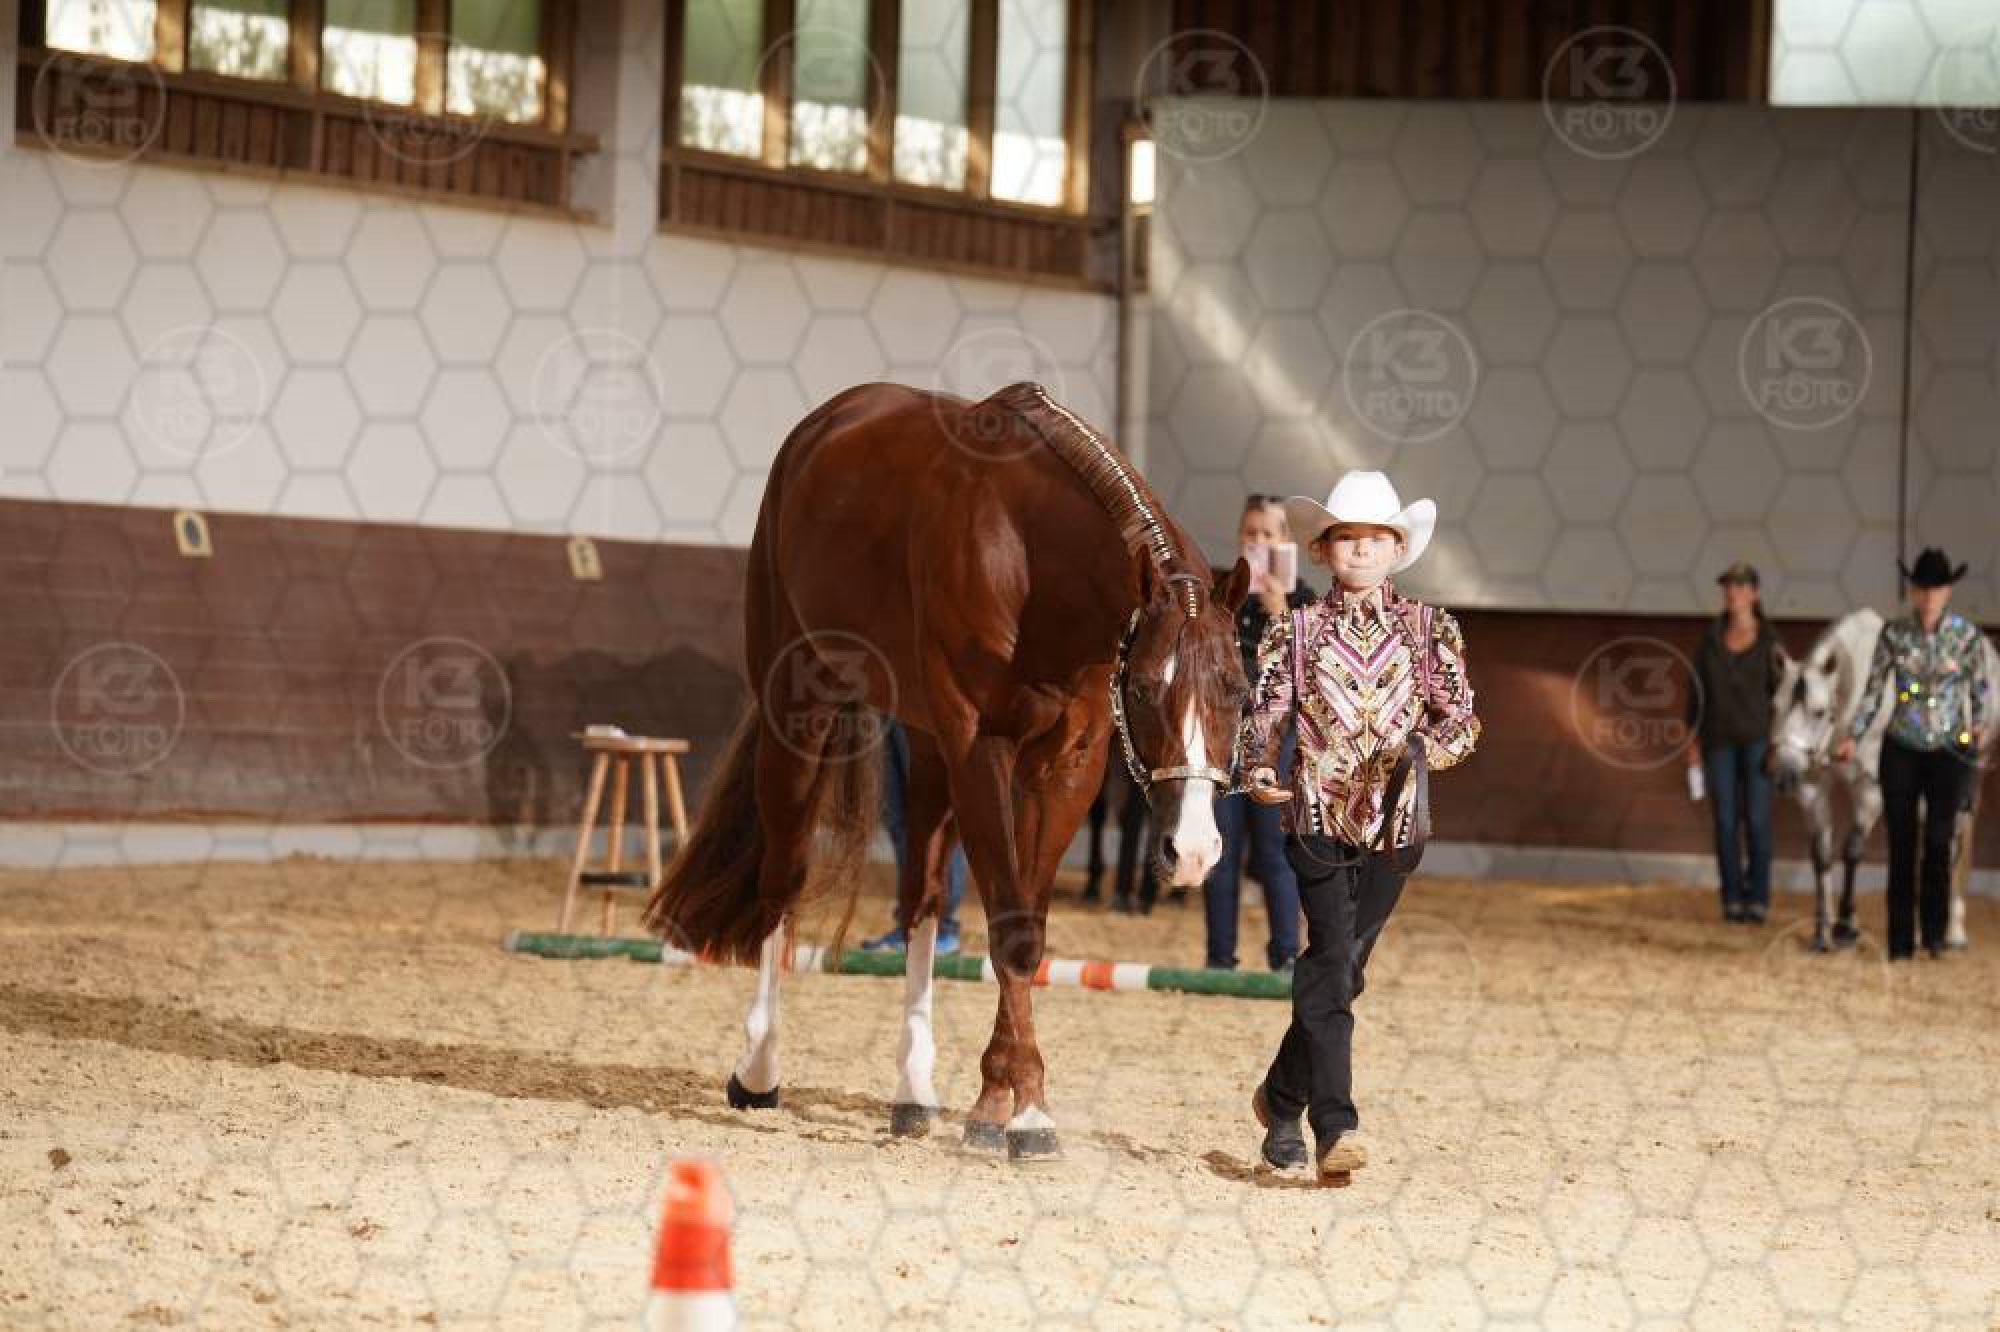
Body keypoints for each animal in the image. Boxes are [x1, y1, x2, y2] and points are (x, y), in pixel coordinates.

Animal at [643, 379, 1252, 1158]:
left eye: (1238, 689)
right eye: (1144, 689)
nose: (1194, 851)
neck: (1033, 561)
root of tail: (821, 426)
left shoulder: (1067, 767)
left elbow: (1024, 926)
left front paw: (1006, 1101)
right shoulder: (980, 752)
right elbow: (1011, 932)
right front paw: (1021, 1112)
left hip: (927, 749)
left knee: (921, 902)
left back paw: (912, 1091)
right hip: (798, 714)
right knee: (783, 882)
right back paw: (759, 1072)